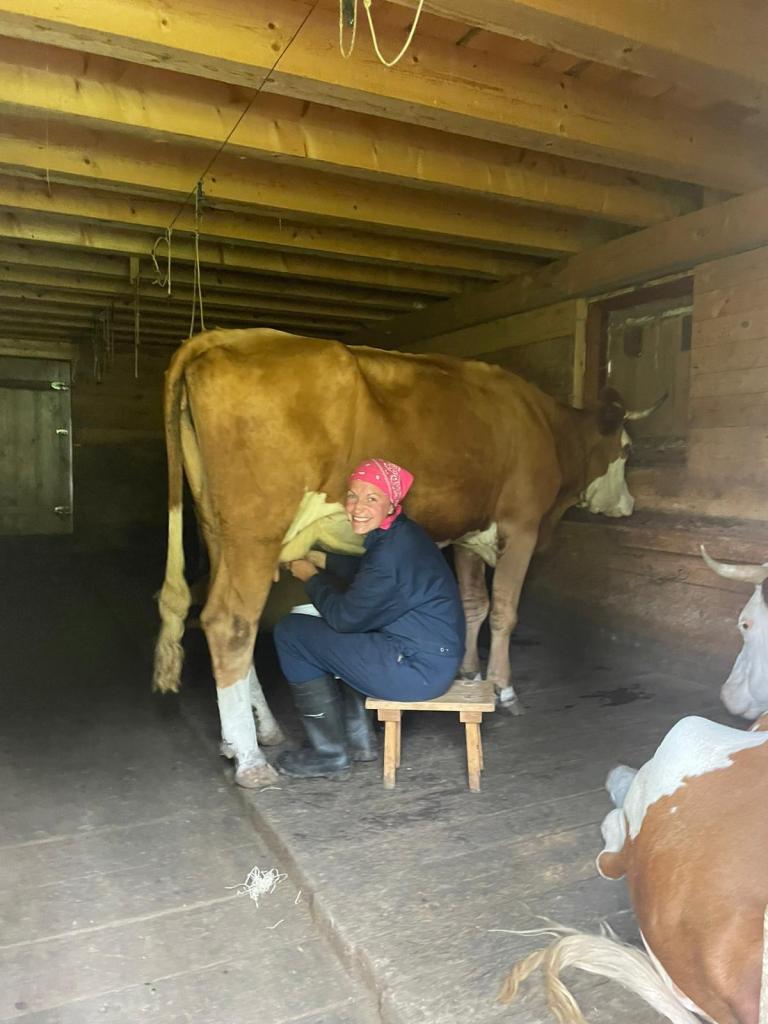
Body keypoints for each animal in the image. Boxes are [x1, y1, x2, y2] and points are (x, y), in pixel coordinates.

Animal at [153, 328, 656, 788]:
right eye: (628, 449)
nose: (630, 505)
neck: (546, 427)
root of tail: (228, 336)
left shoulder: (467, 534)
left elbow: (474, 605)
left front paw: (469, 674)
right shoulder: (522, 525)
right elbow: (505, 612)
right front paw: (503, 689)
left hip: (218, 531)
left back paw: (257, 734)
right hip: (254, 533)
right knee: (230, 621)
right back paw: (251, 760)